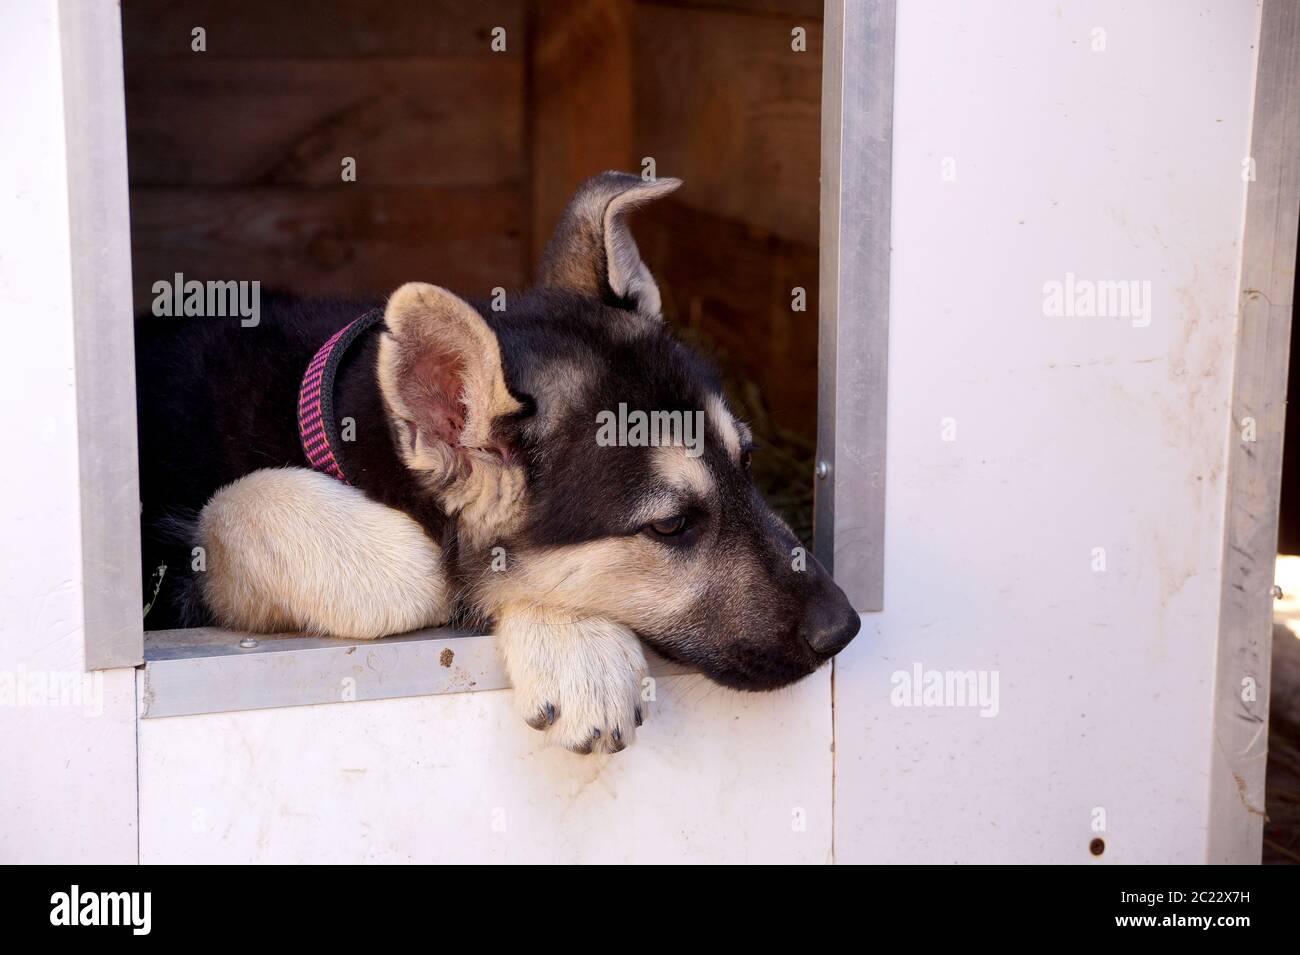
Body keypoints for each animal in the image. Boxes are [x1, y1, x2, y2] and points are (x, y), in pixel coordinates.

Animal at [134, 171, 863, 753]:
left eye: (749, 461)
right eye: (670, 526)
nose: (846, 628)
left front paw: (575, 645)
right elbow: (309, 529)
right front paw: (567, 639)